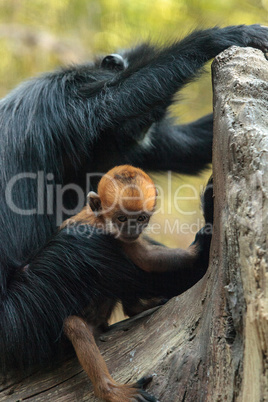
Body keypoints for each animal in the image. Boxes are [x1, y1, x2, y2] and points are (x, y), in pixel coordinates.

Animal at [0, 25, 268, 398]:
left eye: (153, 119)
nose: (145, 132)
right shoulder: (64, 95)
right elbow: (113, 104)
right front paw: (224, 36)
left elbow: (184, 149)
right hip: (21, 320)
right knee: (83, 248)